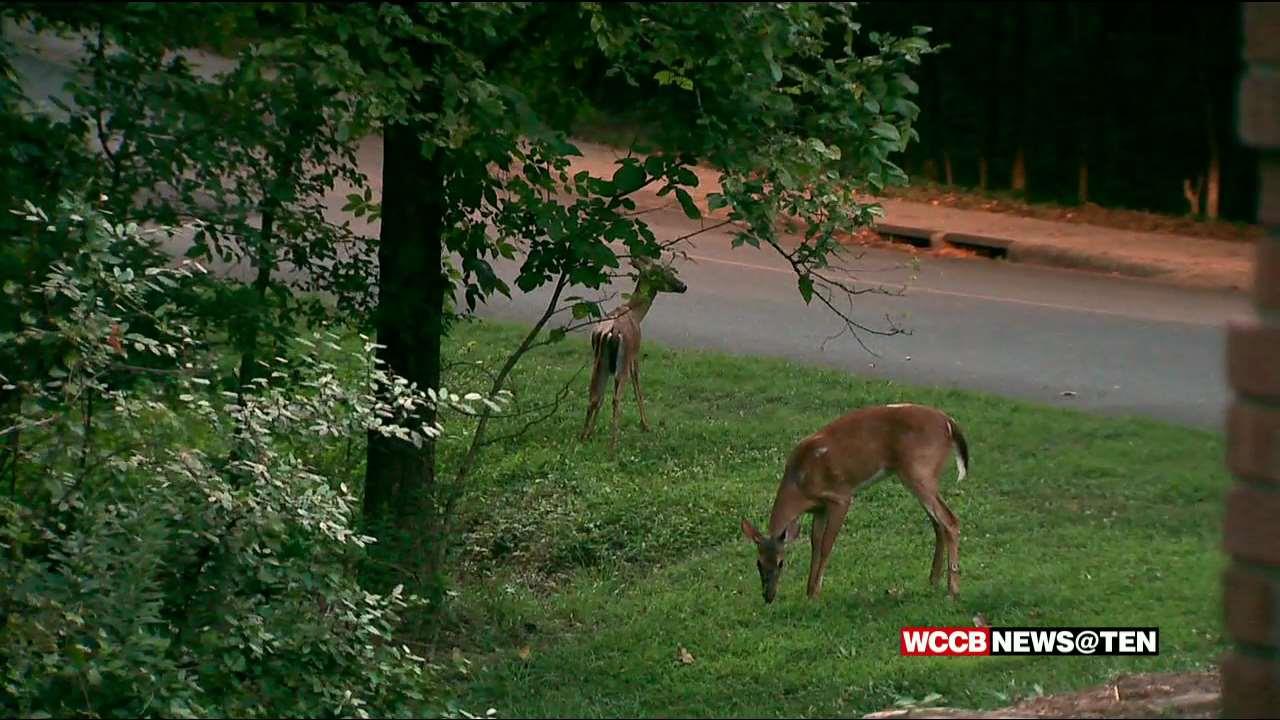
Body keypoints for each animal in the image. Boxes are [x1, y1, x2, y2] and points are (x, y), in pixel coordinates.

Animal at [580, 255, 687, 450]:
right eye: (662, 272)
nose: (683, 286)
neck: (636, 313)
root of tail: (610, 331)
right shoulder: (634, 354)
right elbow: (638, 384)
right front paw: (646, 425)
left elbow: (600, 396)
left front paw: (591, 432)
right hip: (622, 361)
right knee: (616, 398)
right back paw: (613, 444)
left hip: (599, 361)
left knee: (594, 395)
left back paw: (584, 435)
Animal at [740, 402, 970, 604]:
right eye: (759, 563)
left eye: (781, 563)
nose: (768, 596)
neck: (800, 484)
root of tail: (949, 423)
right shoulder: (819, 508)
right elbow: (815, 544)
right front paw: (809, 591)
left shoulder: (841, 497)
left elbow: (826, 546)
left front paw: (815, 594)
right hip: (916, 476)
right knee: (938, 523)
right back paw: (933, 581)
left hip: (920, 471)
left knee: (950, 520)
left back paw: (953, 591)